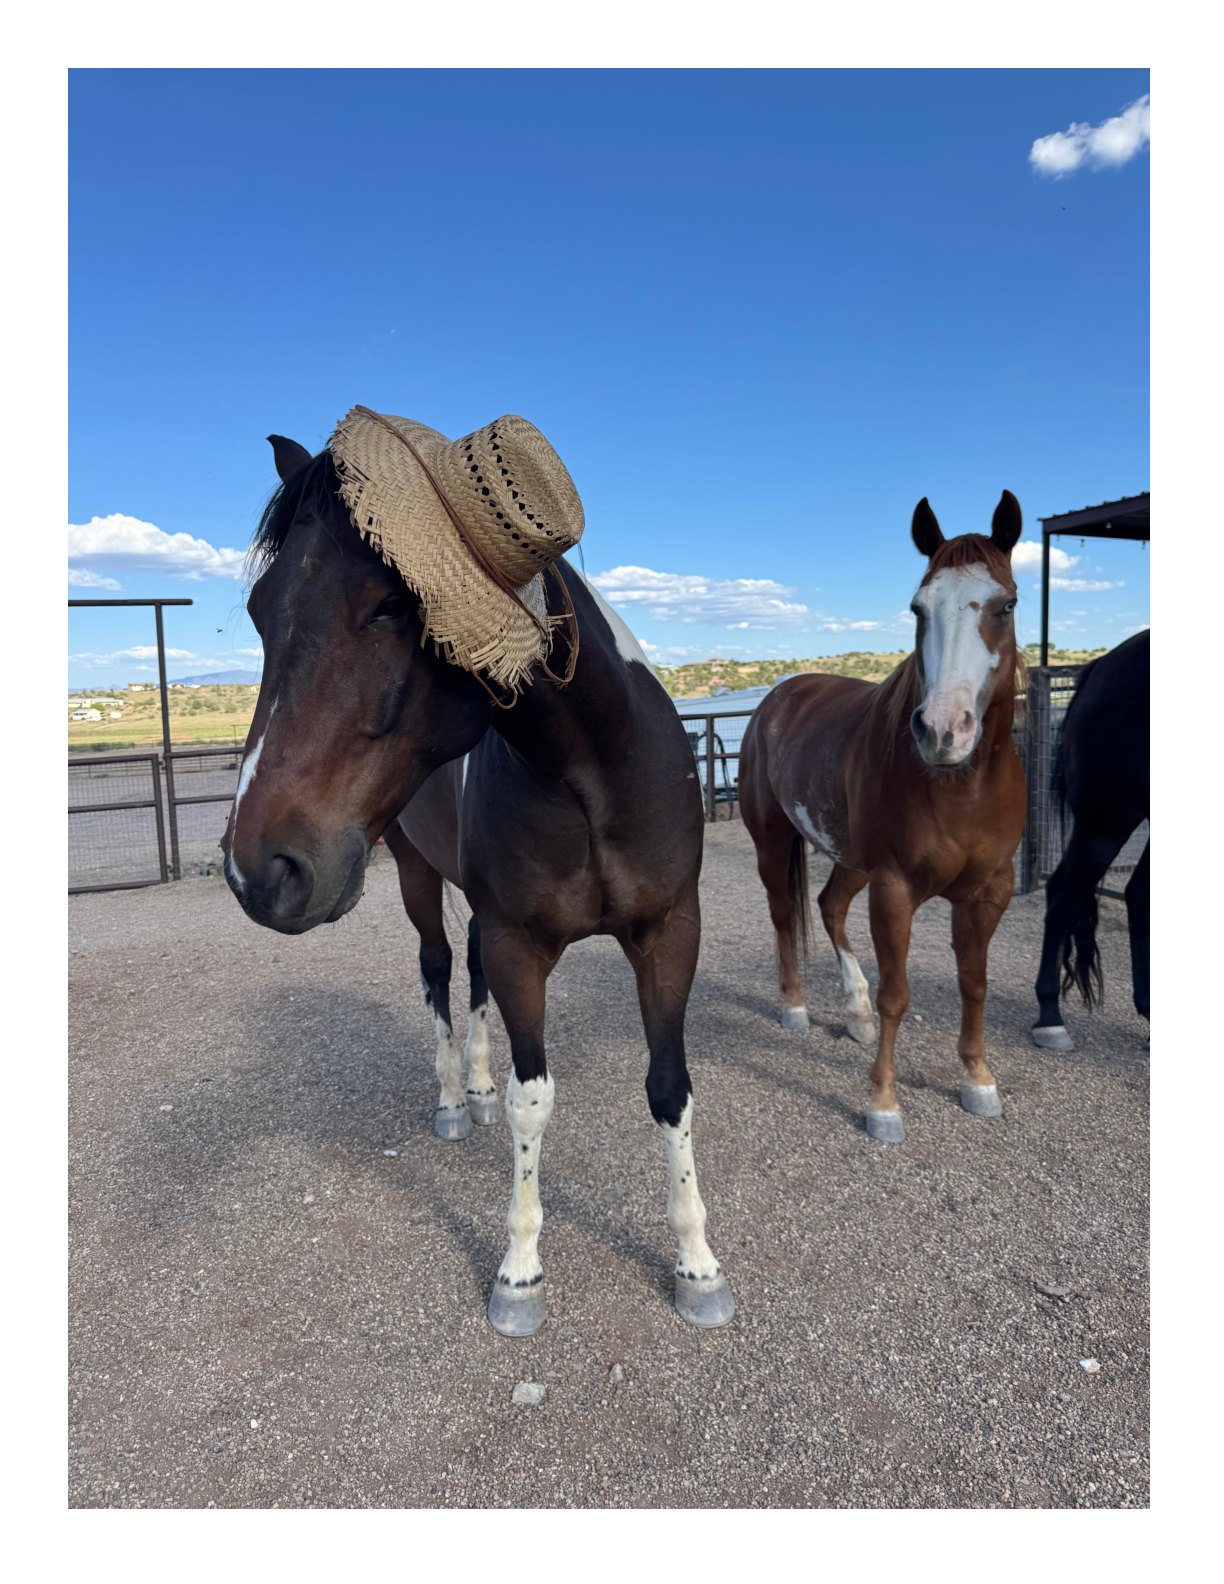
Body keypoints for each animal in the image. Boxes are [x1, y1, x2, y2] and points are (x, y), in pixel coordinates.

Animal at [221, 419, 734, 1337]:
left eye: (392, 604)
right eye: (258, 610)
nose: (259, 870)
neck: (592, 771)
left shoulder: (670, 932)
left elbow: (671, 1089)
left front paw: (697, 1265)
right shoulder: (520, 943)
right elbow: (537, 1102)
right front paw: (519, 1275)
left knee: (468, 975)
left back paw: (480, 1086)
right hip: (416, 877)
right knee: (436, 969)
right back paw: (458, 1102)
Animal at [739, 492, 1027, 1143]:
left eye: (1008, 603)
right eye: (919, 607)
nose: (943, 730)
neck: (960, 786)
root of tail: (777, 696)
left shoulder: (989, 892)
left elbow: (974, 983)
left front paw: (978, 1079)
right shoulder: (895, 887)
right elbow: (899, 993)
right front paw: (883, 1102)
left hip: (852, 859)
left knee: (828, 906)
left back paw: (856, 1012)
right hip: (774, 842)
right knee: (784, 916)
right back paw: (795, 1006)